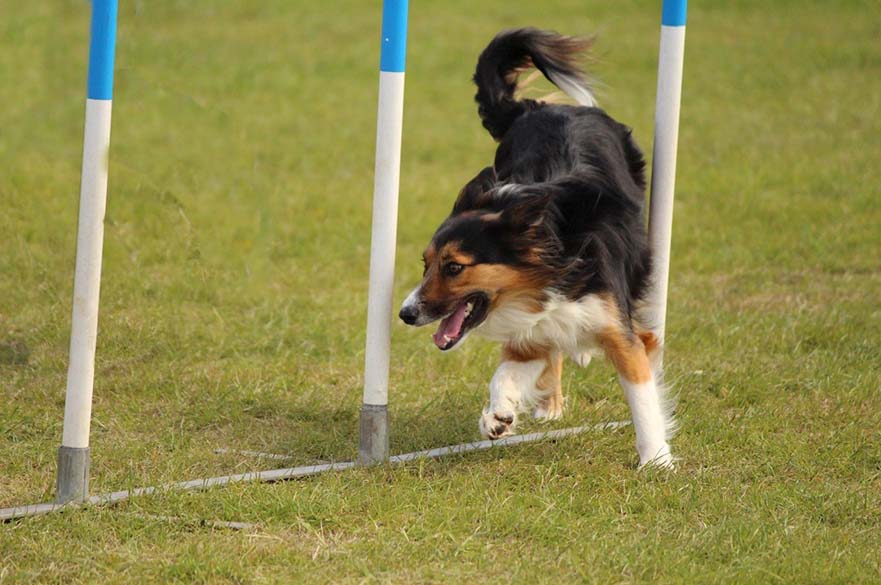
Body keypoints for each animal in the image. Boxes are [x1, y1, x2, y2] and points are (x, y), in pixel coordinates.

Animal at [398, 28, 672, 470]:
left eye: (454, 267)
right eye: (425, 264)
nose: (405, 314)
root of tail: (539, 108)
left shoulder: (620, 330)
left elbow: (643, 394)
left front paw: (657, 461)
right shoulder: (528, 328)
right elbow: (507, 369)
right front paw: (498, 414)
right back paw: (550, 401)